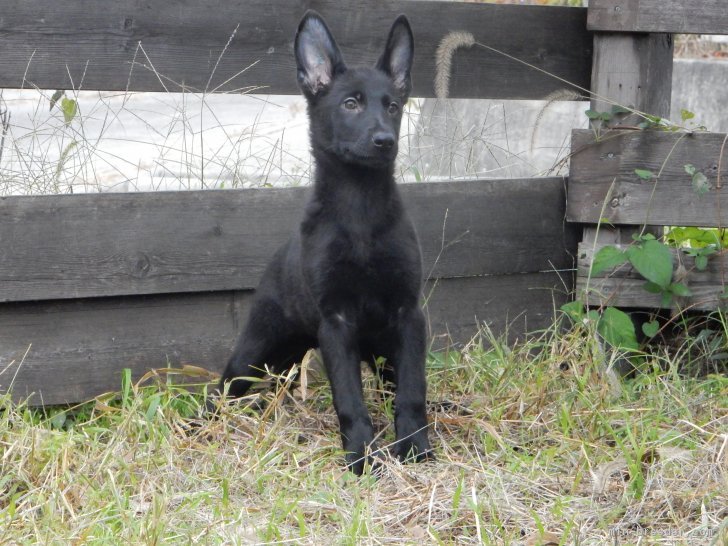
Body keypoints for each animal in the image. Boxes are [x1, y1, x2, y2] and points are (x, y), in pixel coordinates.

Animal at [215, 10, 432, 474]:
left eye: (393, 106)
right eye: (350, 104)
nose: (385, 141)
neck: (360, 208)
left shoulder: (408, 317)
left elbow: (412, 390)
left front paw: (415, 447)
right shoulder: (336, 322)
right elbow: (349, 399)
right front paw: (362, 456)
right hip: (255, 349)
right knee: (221, 389)